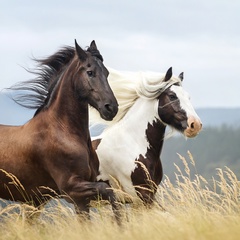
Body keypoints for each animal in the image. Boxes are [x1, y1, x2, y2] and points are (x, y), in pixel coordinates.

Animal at [0, 40, 118, 217]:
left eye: (107, 73)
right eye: (90, 72)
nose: (111, 108)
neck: (62, 130)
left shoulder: (82, 199)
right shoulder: (72, 189)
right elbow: (109, 191)